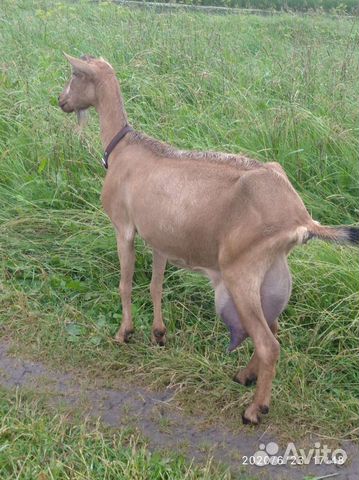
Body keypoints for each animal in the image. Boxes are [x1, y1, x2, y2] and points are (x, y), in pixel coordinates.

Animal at [57, 54, 358, 426]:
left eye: (75, 73)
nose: (62, 101)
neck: (123, 148)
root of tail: (300, 218)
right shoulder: (159, 238)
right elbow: (156, 285)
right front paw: (159, 334)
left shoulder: (124, 227)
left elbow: (125, 284)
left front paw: (123, 333)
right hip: (272, 275)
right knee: (274, 329)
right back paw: (245, 376)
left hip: (240, 272)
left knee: (268, 343)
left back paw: (255, 409)